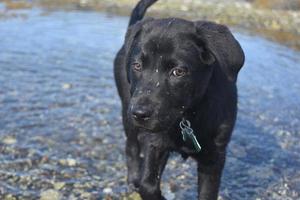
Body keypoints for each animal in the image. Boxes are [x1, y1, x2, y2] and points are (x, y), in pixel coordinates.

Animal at [113, 0, 245, 199]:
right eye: (137, 65)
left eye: (178, 71)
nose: (139, 114)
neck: (189, 116)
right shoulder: (154, 142)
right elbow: (147, 185)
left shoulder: (214, 157)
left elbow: (207, 193)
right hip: (128, 114)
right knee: (132, 149)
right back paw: (132, 180)